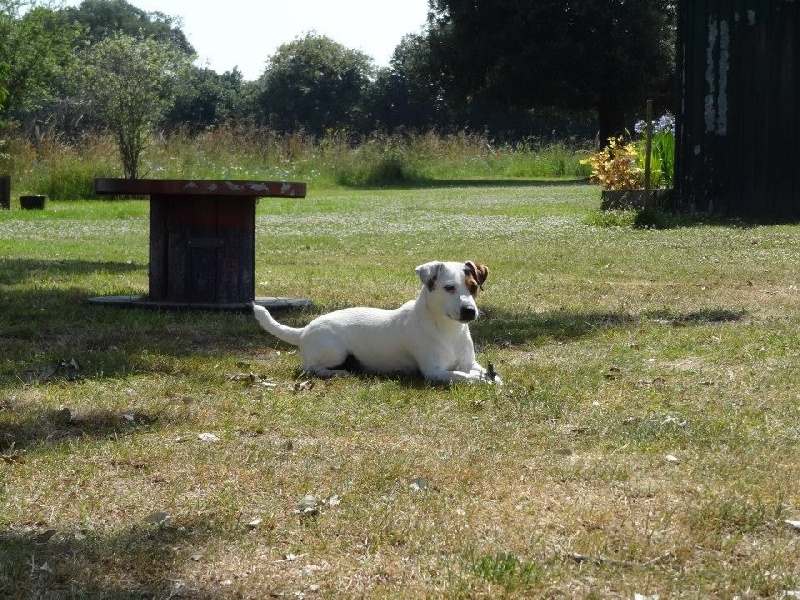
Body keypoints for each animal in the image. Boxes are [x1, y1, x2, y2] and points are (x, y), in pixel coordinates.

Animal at [250, 262, 500, 384]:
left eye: (473, 287)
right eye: (449, 287)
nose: (469, 311)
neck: (448, 330)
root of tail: (304, 330)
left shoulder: (469, 362)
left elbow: (486, 374)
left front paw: (491, 378)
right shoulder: (434, 372)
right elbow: (463, 376)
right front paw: (479, 380)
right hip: (334, 351)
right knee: (310, 368)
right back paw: (338, 373)